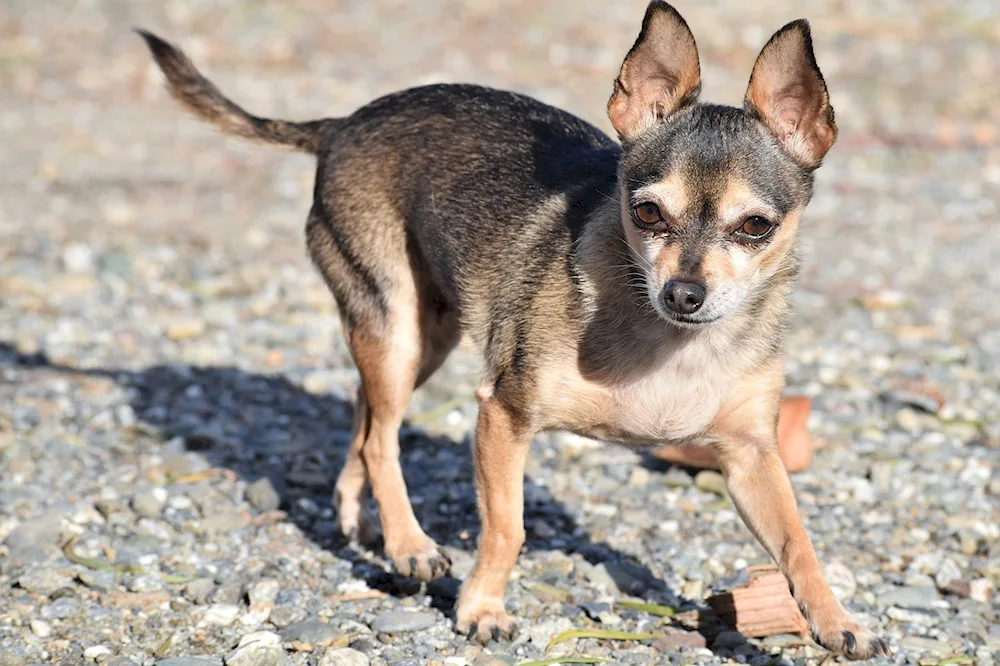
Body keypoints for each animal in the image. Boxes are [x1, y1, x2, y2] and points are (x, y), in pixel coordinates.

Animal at [141, 2, 892, 656]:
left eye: (755, 226)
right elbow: (508, 527)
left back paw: (358, 514)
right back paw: (409, 544)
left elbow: (798, 542)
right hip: (396, 330)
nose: (684, 293)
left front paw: (836, 621)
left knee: (362, 415)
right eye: (648, 213)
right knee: (382, 437)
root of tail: (343, 122)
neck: (670, 346)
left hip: (426, 337)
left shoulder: (751, 458)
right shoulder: (503, 415)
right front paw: (481, 608)